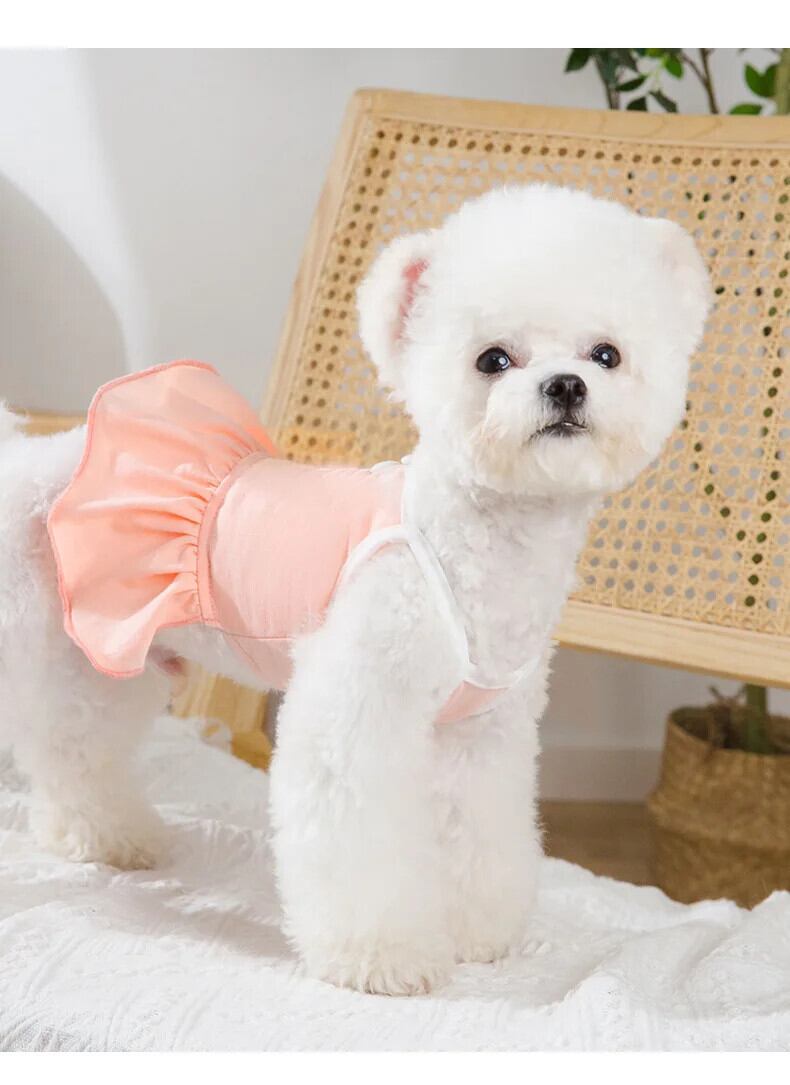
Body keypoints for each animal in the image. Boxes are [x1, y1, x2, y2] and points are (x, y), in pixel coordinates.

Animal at [0, 184, 710, 996]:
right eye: (493, 359)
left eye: (607, 354)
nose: (565, 384)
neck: (475, 544)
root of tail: (24, 455)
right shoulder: (360, 707)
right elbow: (360, 840)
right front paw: (384, 956)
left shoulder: (481, 736)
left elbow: (478, 833)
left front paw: (473, 931)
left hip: (107, 666)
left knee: (78, 758)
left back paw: (108, 837)